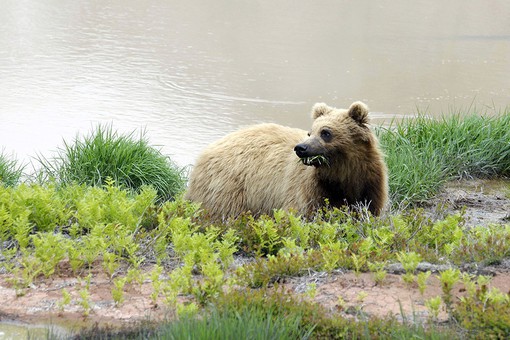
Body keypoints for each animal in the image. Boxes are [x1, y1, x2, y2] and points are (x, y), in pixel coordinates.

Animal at [185, 101, 388, 219]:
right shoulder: (309, 188)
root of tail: (204, 153)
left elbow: (368, 209)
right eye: (310, 132)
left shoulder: (369, 184)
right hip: (229, 187)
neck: (342, 174)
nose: (301, 148)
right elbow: (302, 212)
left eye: (326, 132)